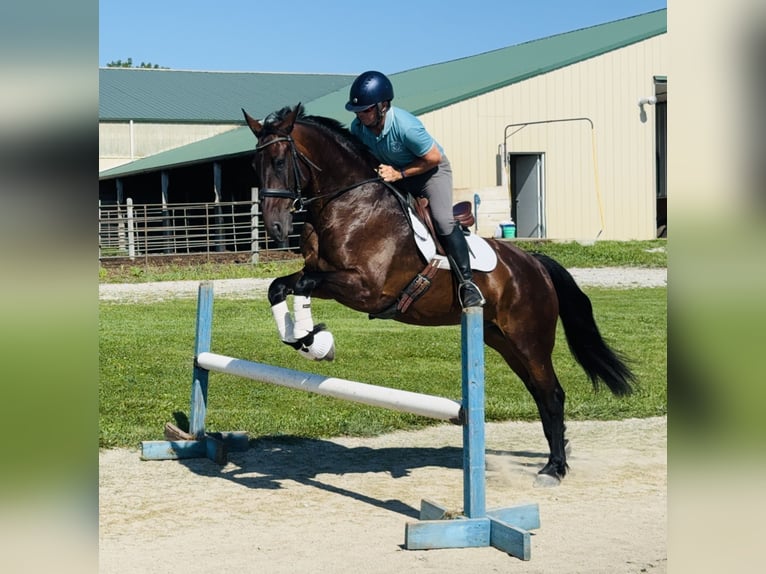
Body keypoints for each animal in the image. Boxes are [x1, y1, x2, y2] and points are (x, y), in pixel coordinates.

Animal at [242, 102, 636, 486]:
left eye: (280, 161)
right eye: (254, 165)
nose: (275, 228)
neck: (348, 203)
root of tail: (535, 264)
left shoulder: (364, 288)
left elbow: (302, 286)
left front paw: (315, 342)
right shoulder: (319, 273)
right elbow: (281, 287)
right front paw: (306, 339)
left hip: (529, 339)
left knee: (552, 393)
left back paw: (554, 468)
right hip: (501, 340)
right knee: (539, 392)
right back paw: (557, 454)